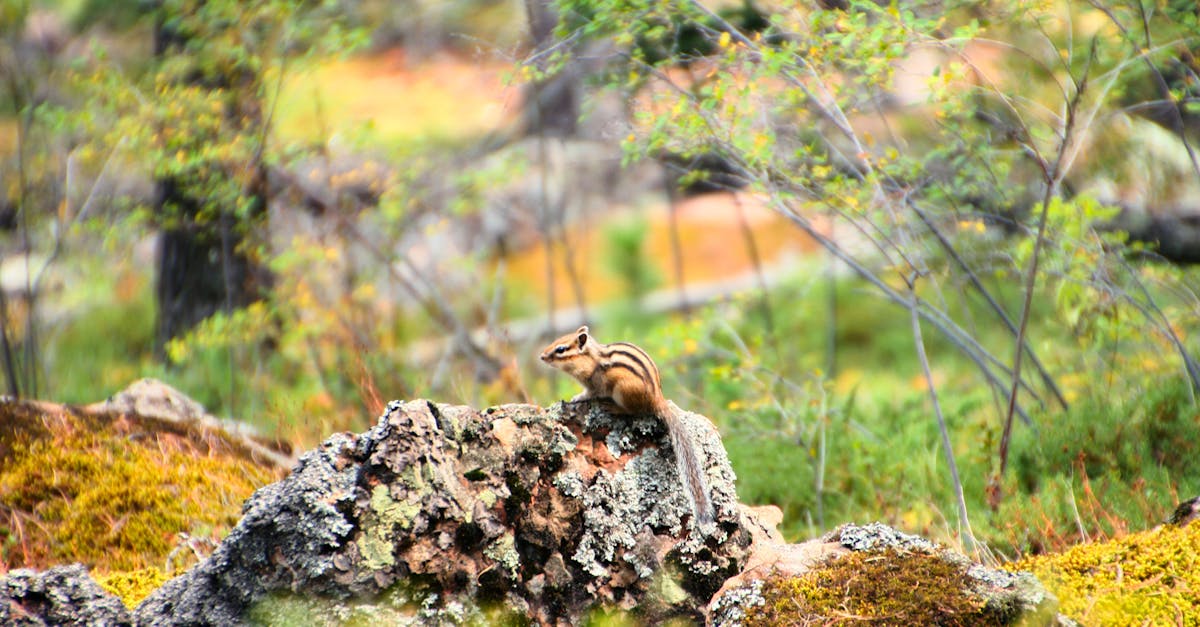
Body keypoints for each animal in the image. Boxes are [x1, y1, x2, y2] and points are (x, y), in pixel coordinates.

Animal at [539, 325, 716, 527]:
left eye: (561, 349)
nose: (542, 356)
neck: (593, 359)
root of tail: (657, 398)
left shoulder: (595, 385)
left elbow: (589, 393)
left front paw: (576, 397)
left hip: (622, 390)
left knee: (632, 412)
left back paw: (613, 408)